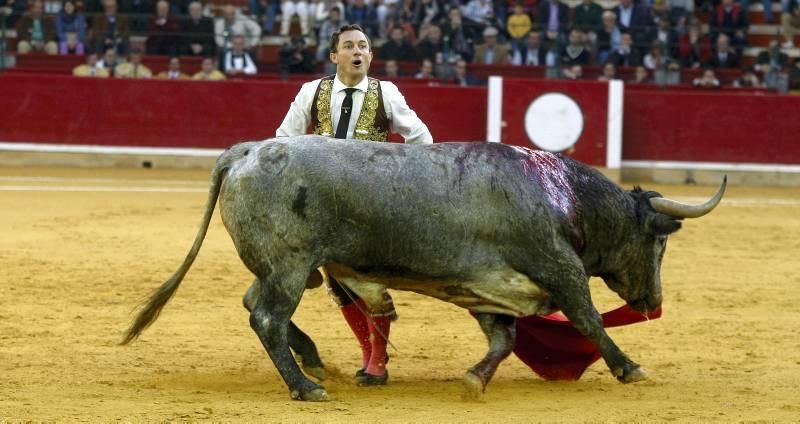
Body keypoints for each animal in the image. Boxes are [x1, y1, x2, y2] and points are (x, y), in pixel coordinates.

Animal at [120, 136, 724, 400]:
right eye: (660, 244)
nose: (653, 303)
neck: (563, 197)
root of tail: (243, 152)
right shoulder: (559, 269)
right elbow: (589, 318)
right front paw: (630, 368)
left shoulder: (488, 289)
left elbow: (504, 340)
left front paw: (475, 380)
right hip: (290, 264)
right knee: (266, 317)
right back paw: (306, 387)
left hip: (280, 265)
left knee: (258, 305)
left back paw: (317, 362)